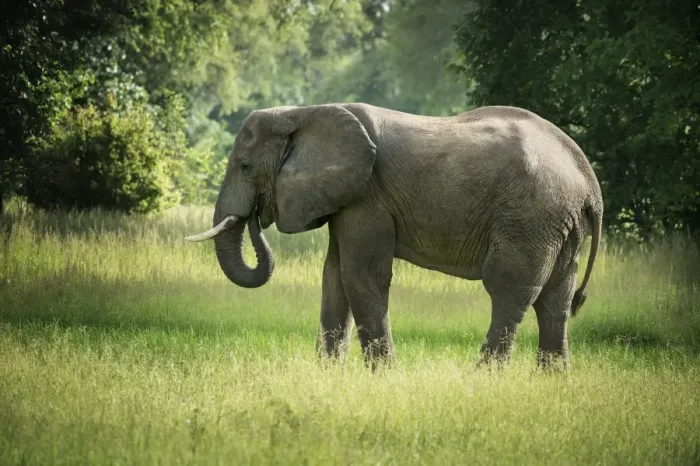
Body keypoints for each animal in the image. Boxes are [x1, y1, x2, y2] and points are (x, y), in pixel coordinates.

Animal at [185, 103, 603, 370]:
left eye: (244, 165)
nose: (257, 215)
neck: (302, 112)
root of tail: (588, 180)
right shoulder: (345, 197)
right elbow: (334, 276)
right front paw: (328, 375)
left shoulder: (368, 196)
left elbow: (361, 275)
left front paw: (381, 376)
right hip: (560, 224)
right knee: (556, 300)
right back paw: (553, 379)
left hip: (530, 217)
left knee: (509, 290)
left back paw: (484, 377)